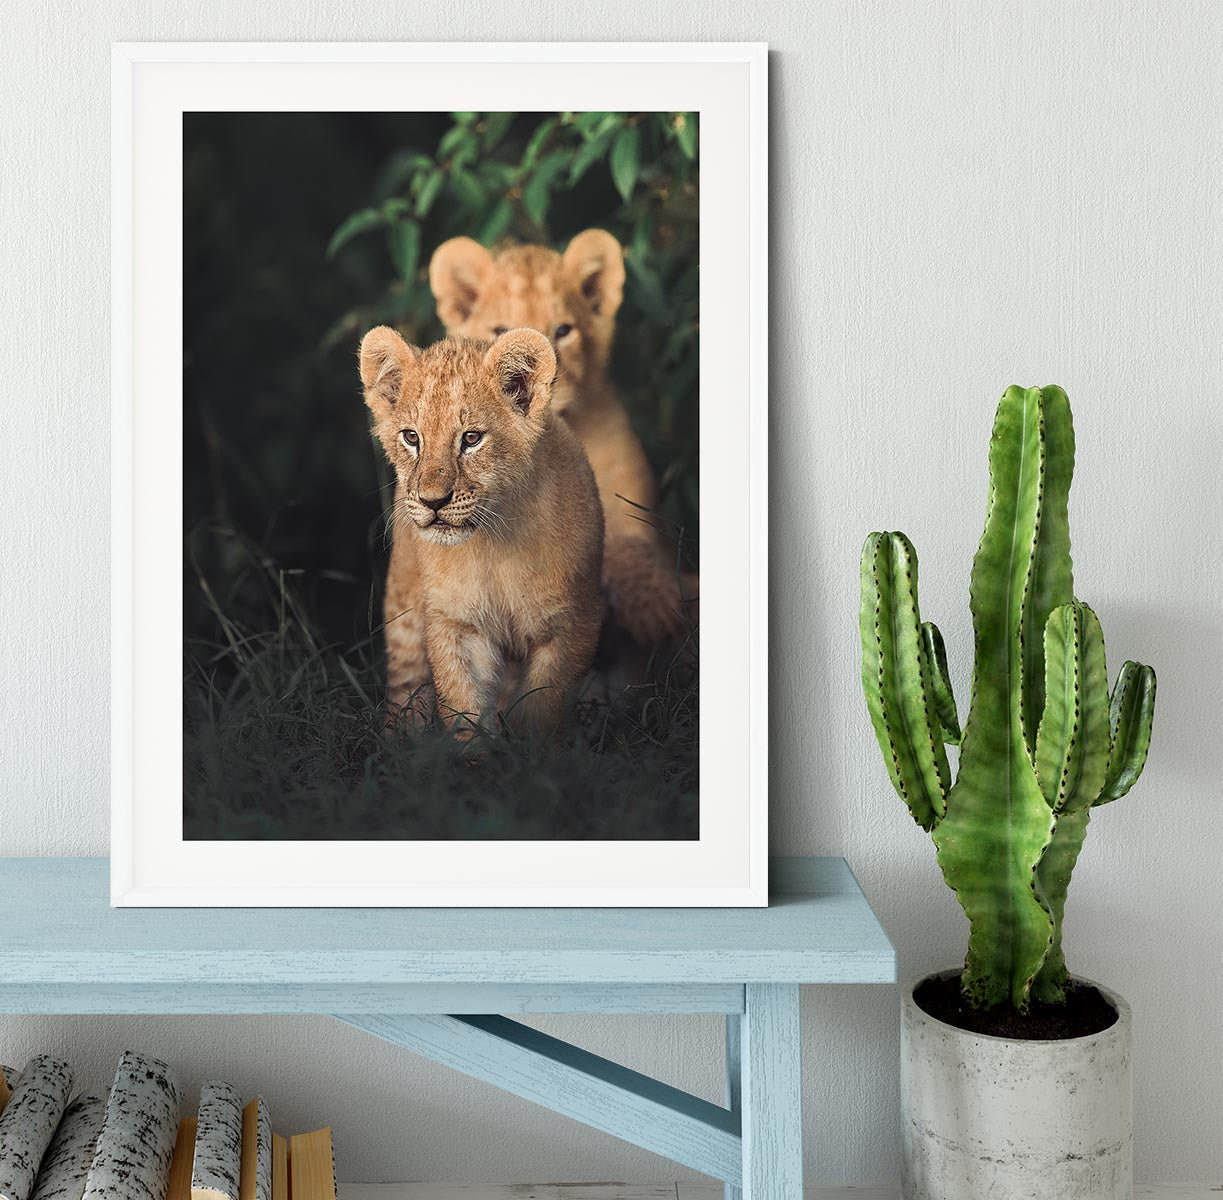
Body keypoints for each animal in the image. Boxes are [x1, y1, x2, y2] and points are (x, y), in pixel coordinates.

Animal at [359, 325, 604, 735]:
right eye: (412, 437)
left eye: (471, 439)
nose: (432, 502)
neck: (494, 544)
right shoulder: (456, 625)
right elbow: (464, 711)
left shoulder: (573, 624)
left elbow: (541, 709)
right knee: (406, 687)